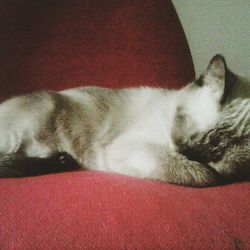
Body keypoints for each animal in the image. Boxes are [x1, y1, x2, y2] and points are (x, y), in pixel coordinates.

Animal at [0, 55, 246, 187]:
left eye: (215, 156)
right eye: (181, 120)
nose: (182, 152)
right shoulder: (131, 148)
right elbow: (206, 177)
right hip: (20, 131)